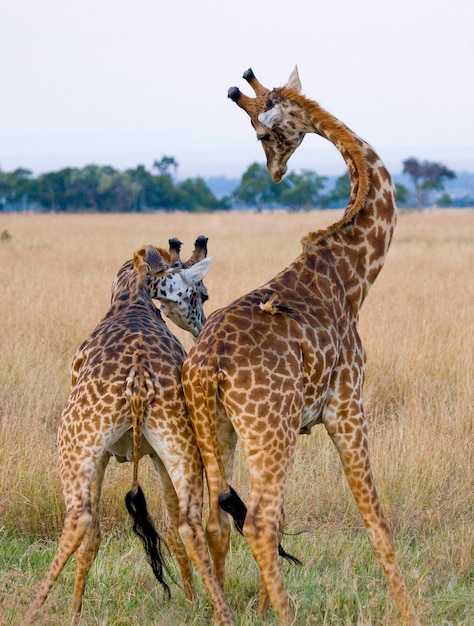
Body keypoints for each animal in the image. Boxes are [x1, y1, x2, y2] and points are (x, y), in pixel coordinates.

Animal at [24, 236, 235, 620]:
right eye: (203, 294)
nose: (202, 325)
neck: (132, 292)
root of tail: (138, 377)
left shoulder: (104, 454)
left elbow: (92, 539)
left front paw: (75, 613)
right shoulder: (155, 455)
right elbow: (172, 530)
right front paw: (190, 601)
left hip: (75, 443)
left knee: (79, 520)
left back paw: (33, 611)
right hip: (181, 444)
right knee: (189, 524)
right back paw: (223, 613)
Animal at [181, 68, 418, 624]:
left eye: (262, 131)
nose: (275, 173)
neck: (352, 276)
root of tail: (208, 366)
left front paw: (262, 606)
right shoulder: (346, 405)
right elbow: (377, 520)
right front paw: (409, 612)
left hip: (214, 428)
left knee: (214, 520)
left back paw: (225, 612)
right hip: (269, 429)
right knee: (258, 522)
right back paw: (285, 615)